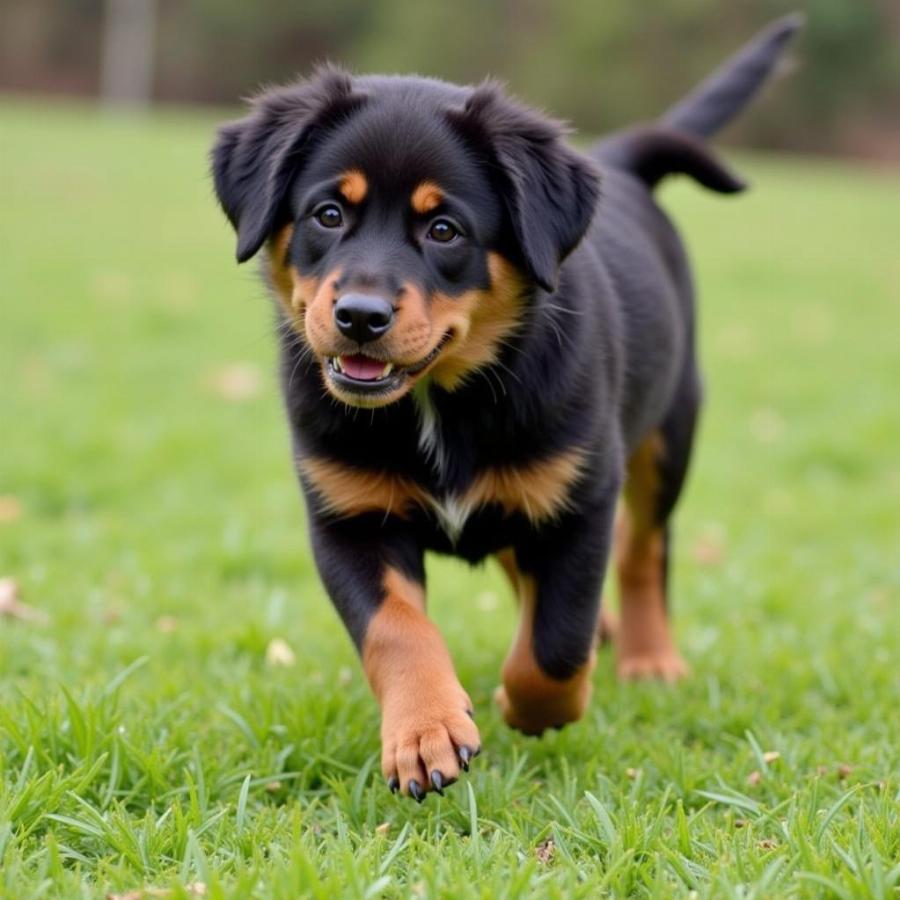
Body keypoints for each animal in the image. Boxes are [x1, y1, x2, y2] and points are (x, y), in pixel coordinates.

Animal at [211, 15, 800, 800]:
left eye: (444, 230)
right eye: (328, 215)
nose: (360, 316)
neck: (437, 401)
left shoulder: (581, 498)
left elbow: (555, 642)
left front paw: (533, 707)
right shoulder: (348, 515)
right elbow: (396, 628)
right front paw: (425, 731)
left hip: (669, 432)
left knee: (644, 549)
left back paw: (648, 657)